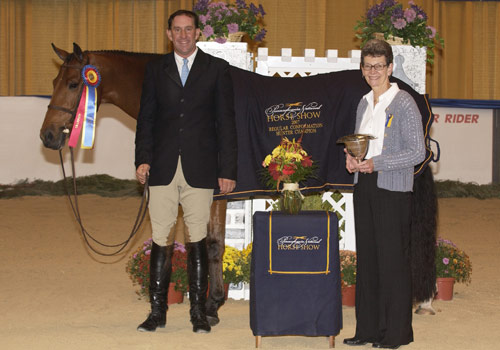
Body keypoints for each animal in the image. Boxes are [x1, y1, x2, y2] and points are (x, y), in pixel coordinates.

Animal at [41, 42, 229, 324]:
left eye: (73, 84)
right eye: (54, 82)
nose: (47, 135)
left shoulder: (215, 192)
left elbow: (212, 244)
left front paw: (211, 305)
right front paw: (210, 303)